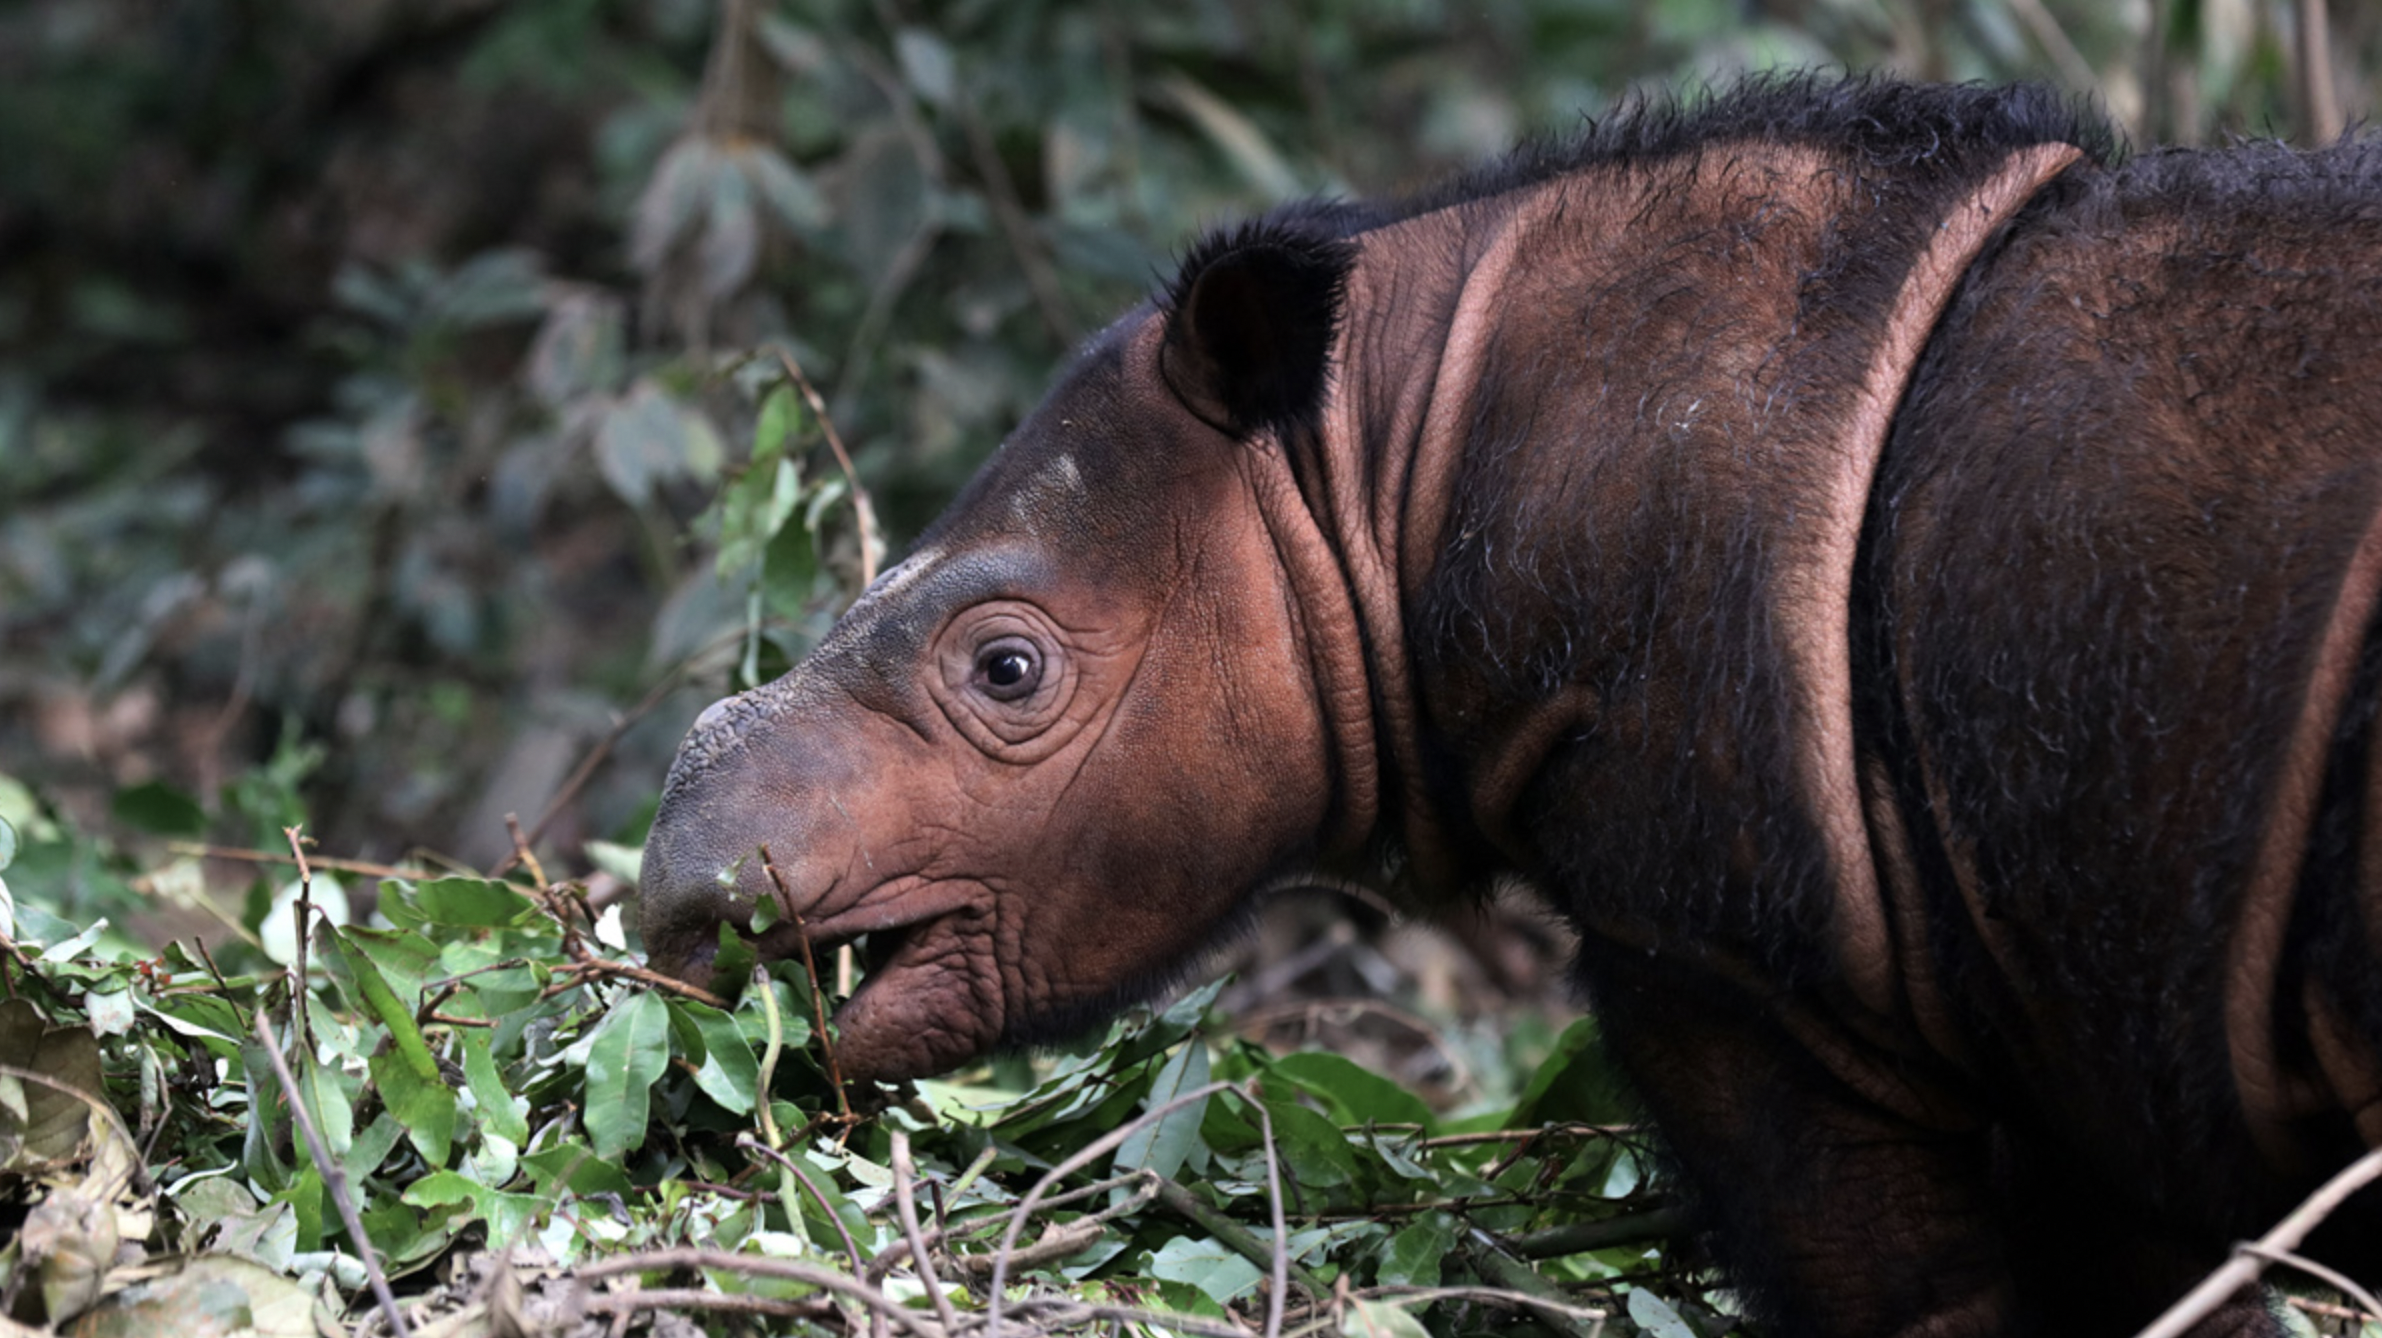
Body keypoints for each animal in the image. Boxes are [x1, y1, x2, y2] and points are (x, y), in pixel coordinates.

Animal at [640, 76, 2382, 1337]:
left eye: (1007, 670)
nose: (681, 902)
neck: (1382, 462)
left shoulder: (1742, 954)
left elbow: (1901, 1291)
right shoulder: (2089, 969)